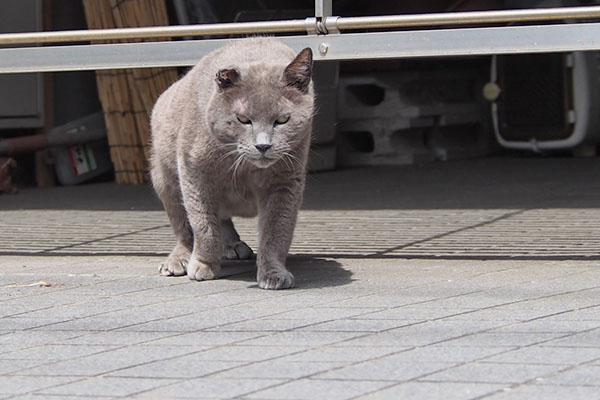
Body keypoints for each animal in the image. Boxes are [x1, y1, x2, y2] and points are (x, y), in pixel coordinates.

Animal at [150, 37, 314, 290]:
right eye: (243, 119)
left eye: (283, 119)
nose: (263, 146)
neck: (245, 168)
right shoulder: (193, 172)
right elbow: (203, 224)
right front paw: (204, 265)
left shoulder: (286, 181)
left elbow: (277, 229)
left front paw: (273, 274)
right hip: (164, 180)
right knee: (184, 227)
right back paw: (179, 260)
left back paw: (233, 246)